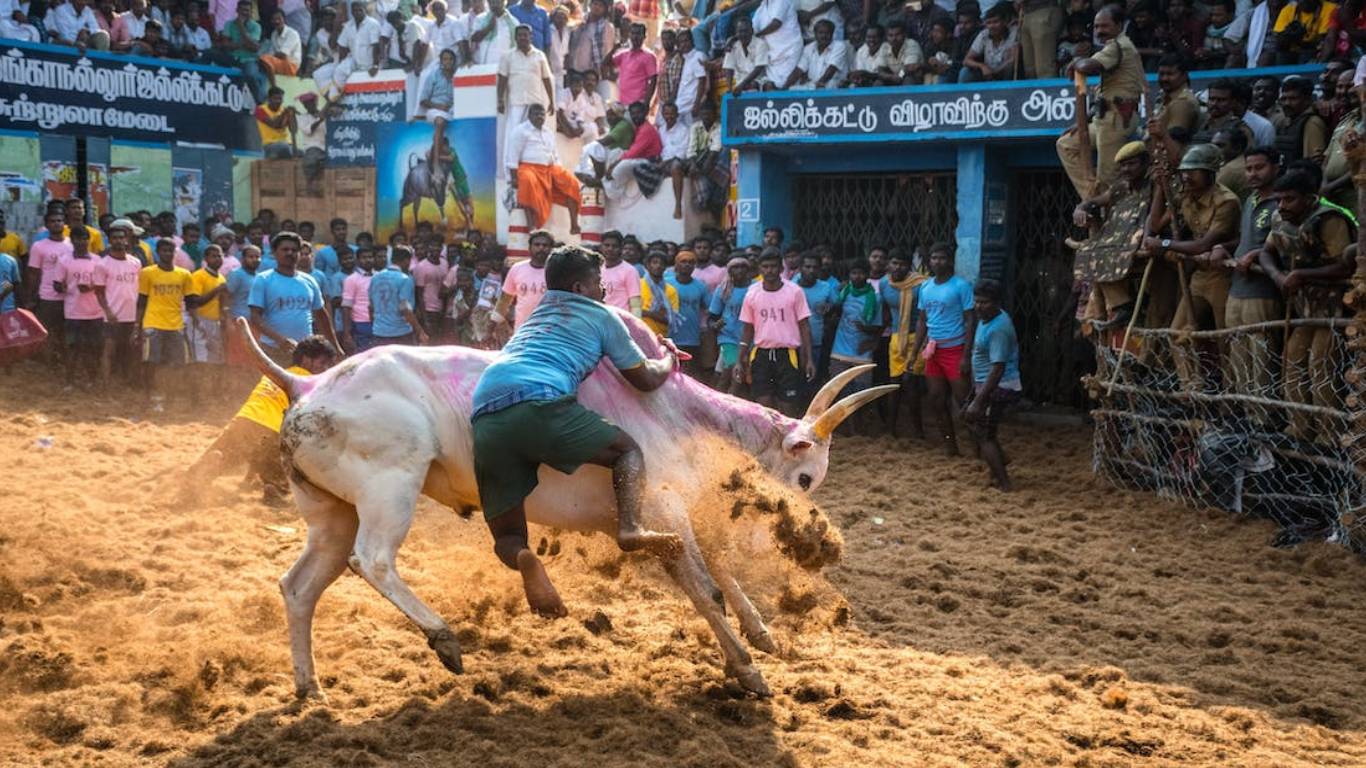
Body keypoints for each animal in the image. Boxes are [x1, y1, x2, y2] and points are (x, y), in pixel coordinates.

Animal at [239, 314, 890, 696]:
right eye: (805, 476)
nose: (807, 531)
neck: (675, 414)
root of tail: (306, 386)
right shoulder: (662, 516)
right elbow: (705, 587)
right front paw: (748, 671)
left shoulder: (675, 519)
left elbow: (721, 573)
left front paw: (761, 638)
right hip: (389, 487)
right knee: (372, 561)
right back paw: (445, 636)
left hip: (331, 513)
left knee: (300, 586)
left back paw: (309, 687)